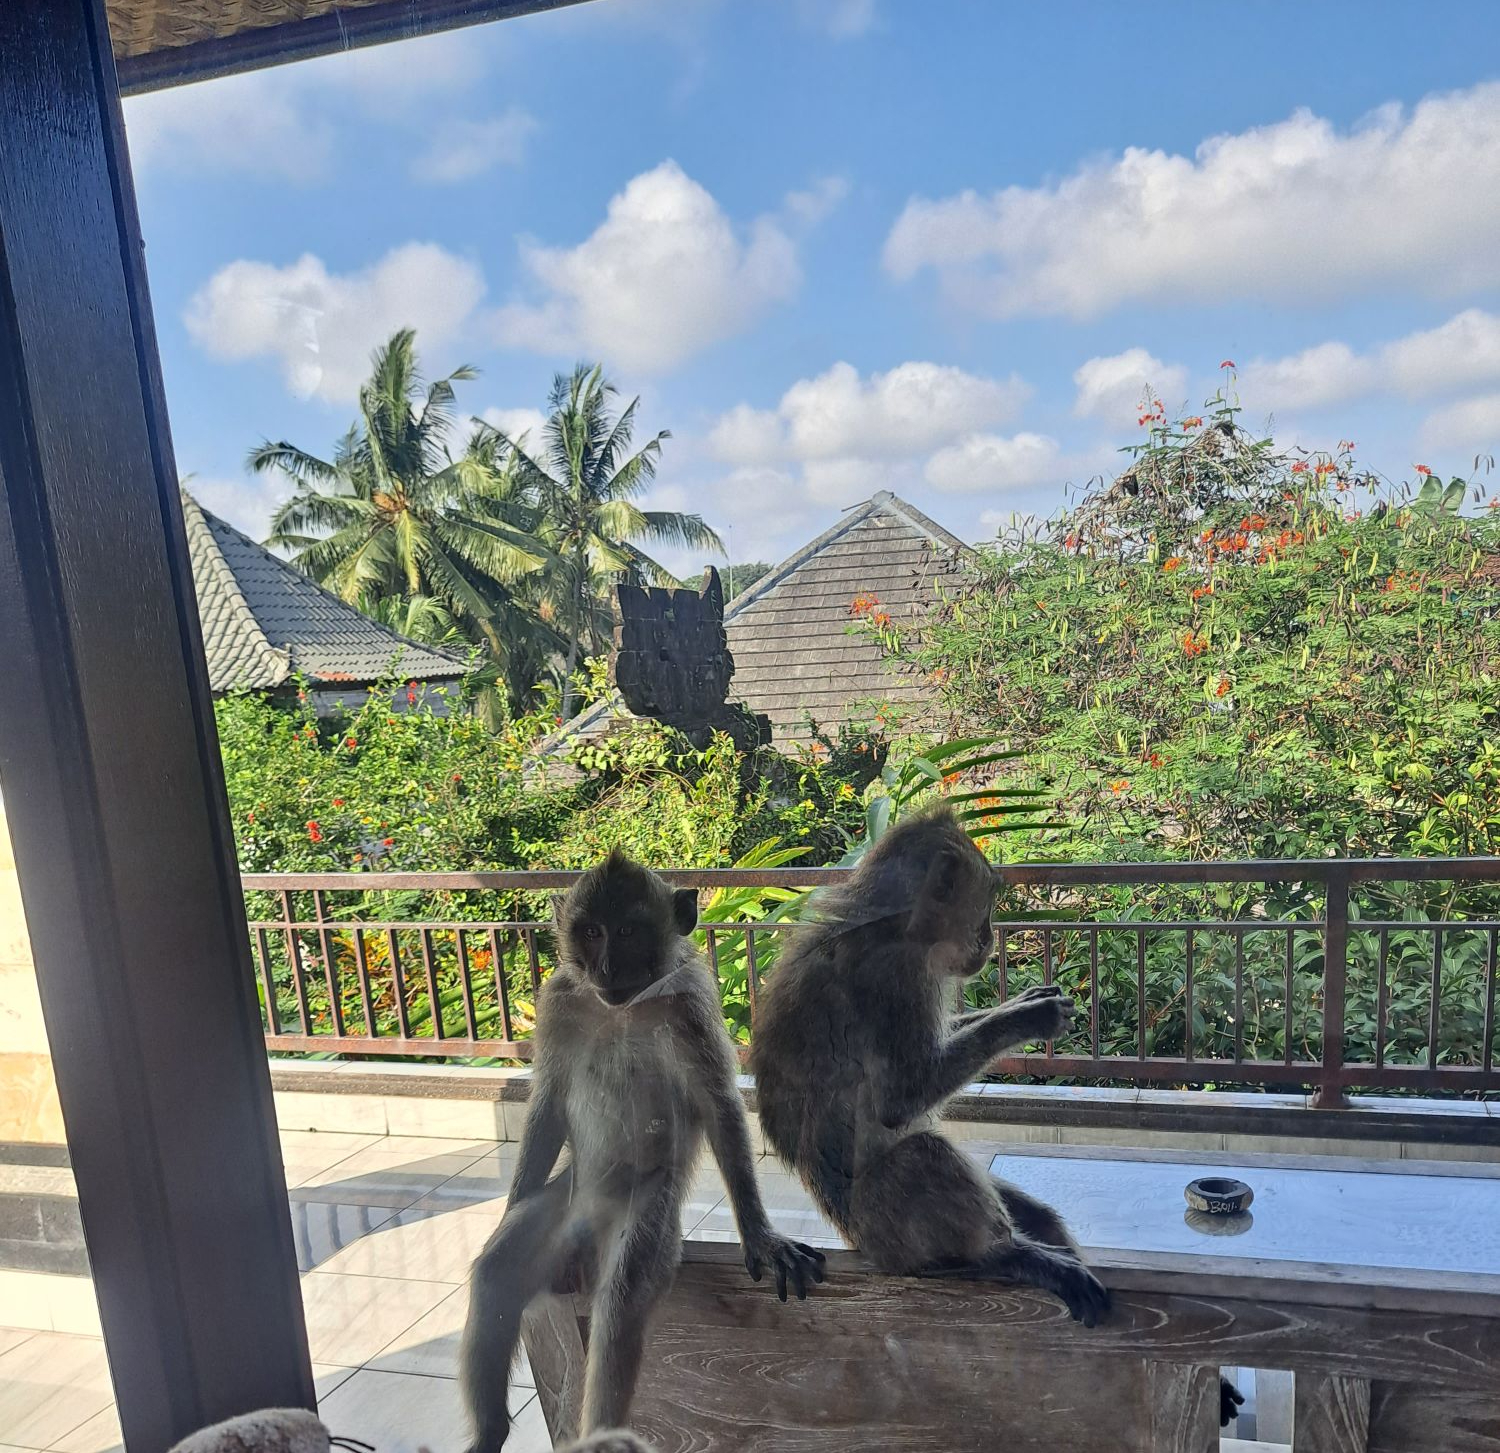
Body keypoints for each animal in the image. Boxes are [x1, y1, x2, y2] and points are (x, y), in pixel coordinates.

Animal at [460, 851, 826, 1452]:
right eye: (592, 931)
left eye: (628, 931)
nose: (606, 968)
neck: (625, 1007)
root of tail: (583, 1238)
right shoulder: (560, 1001)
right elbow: (549, 1102)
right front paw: (510, 1201)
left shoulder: (690, 1008)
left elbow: (720, 1105)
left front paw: (760, 1237)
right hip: (565, 1206)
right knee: (497, 1273)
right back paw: (490, 1432)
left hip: (649, 1209)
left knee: (621, 1302)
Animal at [749, 805, 1111, 1325]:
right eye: (985, 904)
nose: (988, 938)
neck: (895, 928)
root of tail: (855, 1240)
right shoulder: (894, 978)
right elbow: (899, 1100)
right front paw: (1028, 1017)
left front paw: (1021, 1002)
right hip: (885, 1234)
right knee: (921, 1151)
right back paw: (1006, 1256)